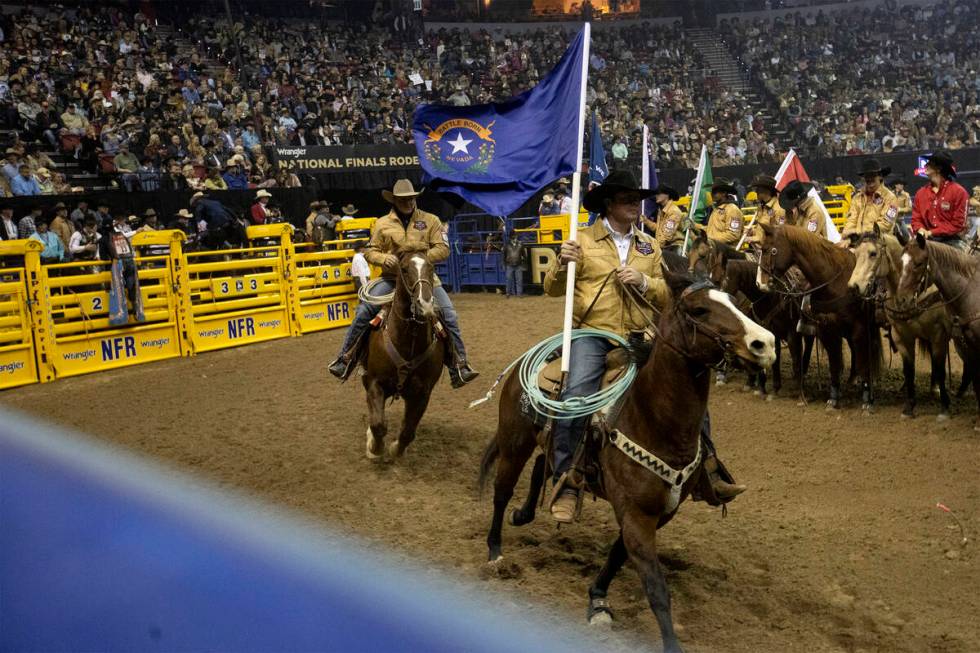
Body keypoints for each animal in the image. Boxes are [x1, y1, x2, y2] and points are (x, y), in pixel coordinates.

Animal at [362, 244, 442, 458]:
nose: (425, 304)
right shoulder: (374, 382)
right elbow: (378, 424)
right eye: (404, 269)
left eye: (431, 267)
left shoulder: (423, 393)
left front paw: (395, 450)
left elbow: (407, 431)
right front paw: (375, 449)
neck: (408, 339)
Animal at [478, 270, 776, 652]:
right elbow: (655, 586)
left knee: (546, 466)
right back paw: (495, 553)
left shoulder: (657, 512)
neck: (650, 417)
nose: (765, 343)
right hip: (514, 441)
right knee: (502, 491)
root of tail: (527, 362)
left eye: (735, 302)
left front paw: (598, 599)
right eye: (699, 310)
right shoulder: (635, 512)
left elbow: (619, 553)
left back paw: (527, 512)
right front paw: (669, 643)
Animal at [756, 223, 884, 408]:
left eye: (769, 250)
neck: (835, 282)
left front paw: (867, 399)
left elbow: (863, 361)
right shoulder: (829, 330)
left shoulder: (860, 328)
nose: (760, 283)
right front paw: (834, 397)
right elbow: (834, 363)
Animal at [848, 224, 952, 418]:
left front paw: (945, 405)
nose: (854, 286)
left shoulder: (937, 334)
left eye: (873, 253)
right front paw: (909, 406)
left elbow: (940, 368)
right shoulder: (901, 335)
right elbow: (909, 369)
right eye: (855, 254)